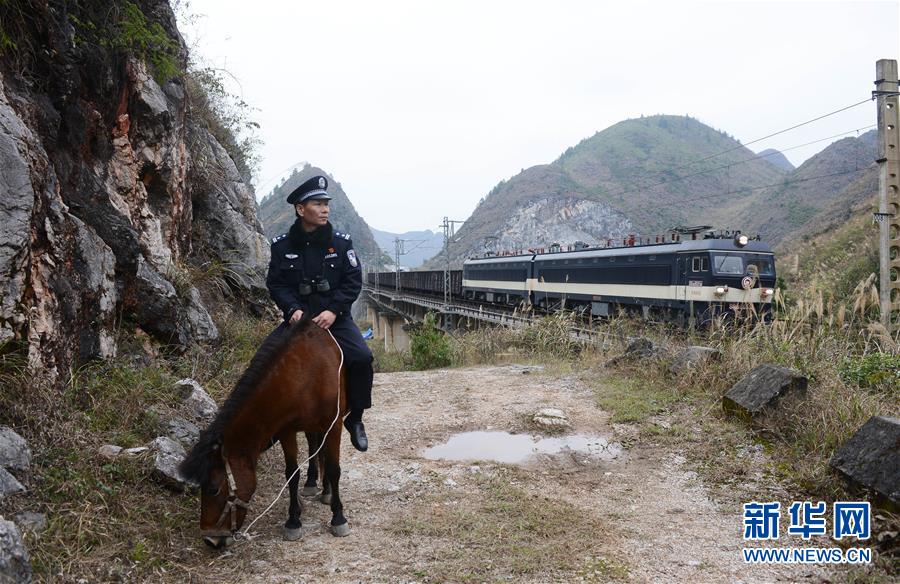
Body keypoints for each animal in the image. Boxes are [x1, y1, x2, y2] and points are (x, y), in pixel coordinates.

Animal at [181, 318, 350, 544]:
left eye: (213, 489)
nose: (210, 540)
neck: (304, 375)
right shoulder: (287, 430)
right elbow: (292, 473)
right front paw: (293, 520)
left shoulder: (334, 424)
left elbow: (333, 469)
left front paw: (338, 517)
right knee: (315, 448)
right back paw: (313, 483)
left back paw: (327, 490)